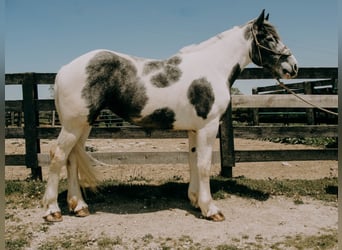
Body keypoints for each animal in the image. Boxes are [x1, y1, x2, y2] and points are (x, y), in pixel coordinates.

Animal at [42, 9, 298, 222]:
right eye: (268, 38)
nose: (293, 67)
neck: (212, 68)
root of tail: (65, 69)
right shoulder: (208, 127)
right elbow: (204, 165)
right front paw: (211, 209)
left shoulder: (195, 129)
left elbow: (193, 161)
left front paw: (195, 200)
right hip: (74, 125)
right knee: (57, 156)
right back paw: (53, 210)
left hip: (84, 124)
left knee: (72, 158)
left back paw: (79, 206)